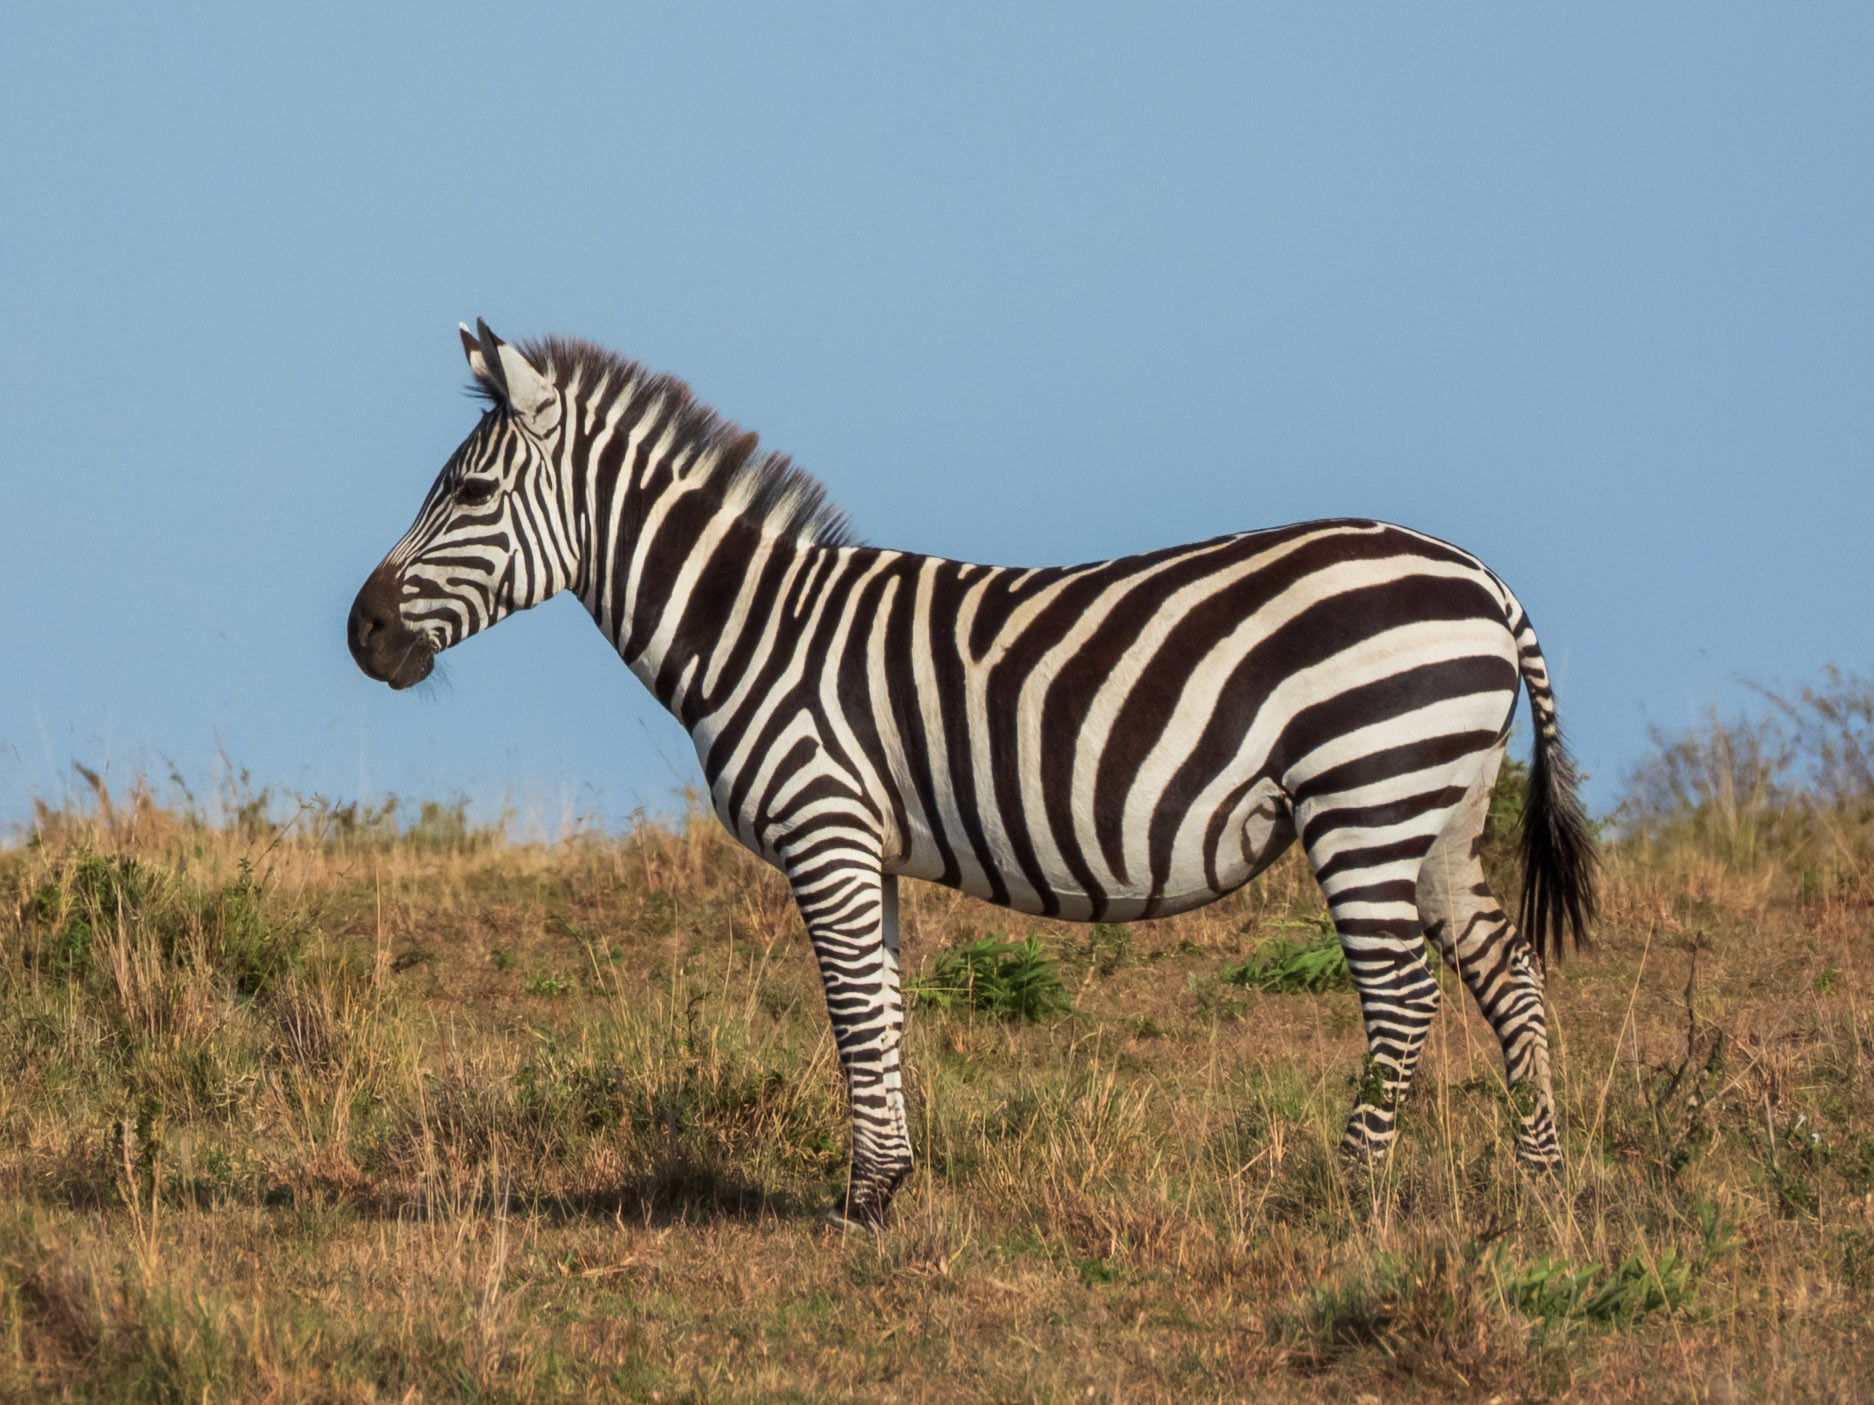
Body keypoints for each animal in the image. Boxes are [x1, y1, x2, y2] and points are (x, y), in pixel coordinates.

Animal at [348, 321, 1597, 1229]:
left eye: (467, 496)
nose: (361, 635)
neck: (750, 630)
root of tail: (1482, 580)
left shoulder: (823, 827)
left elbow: (852, 1010)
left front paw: (857, 1207)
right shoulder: (868, 846)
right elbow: (886, 1005)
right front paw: (888, 1184)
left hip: (1363, 797)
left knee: (1403, 997)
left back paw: (1347, 1197)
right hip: (1435, 813)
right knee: (1509, 978)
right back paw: (1540, 1189)